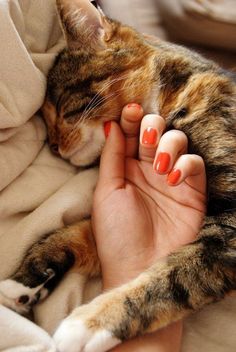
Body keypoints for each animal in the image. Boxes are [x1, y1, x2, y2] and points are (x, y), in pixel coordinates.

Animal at [0, 0, 235, 350]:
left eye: (62, 105)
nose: (53, 147)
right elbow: (79, 232)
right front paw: (26, 279)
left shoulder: (231, 227)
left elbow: (174, 276)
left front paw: (90, 323)